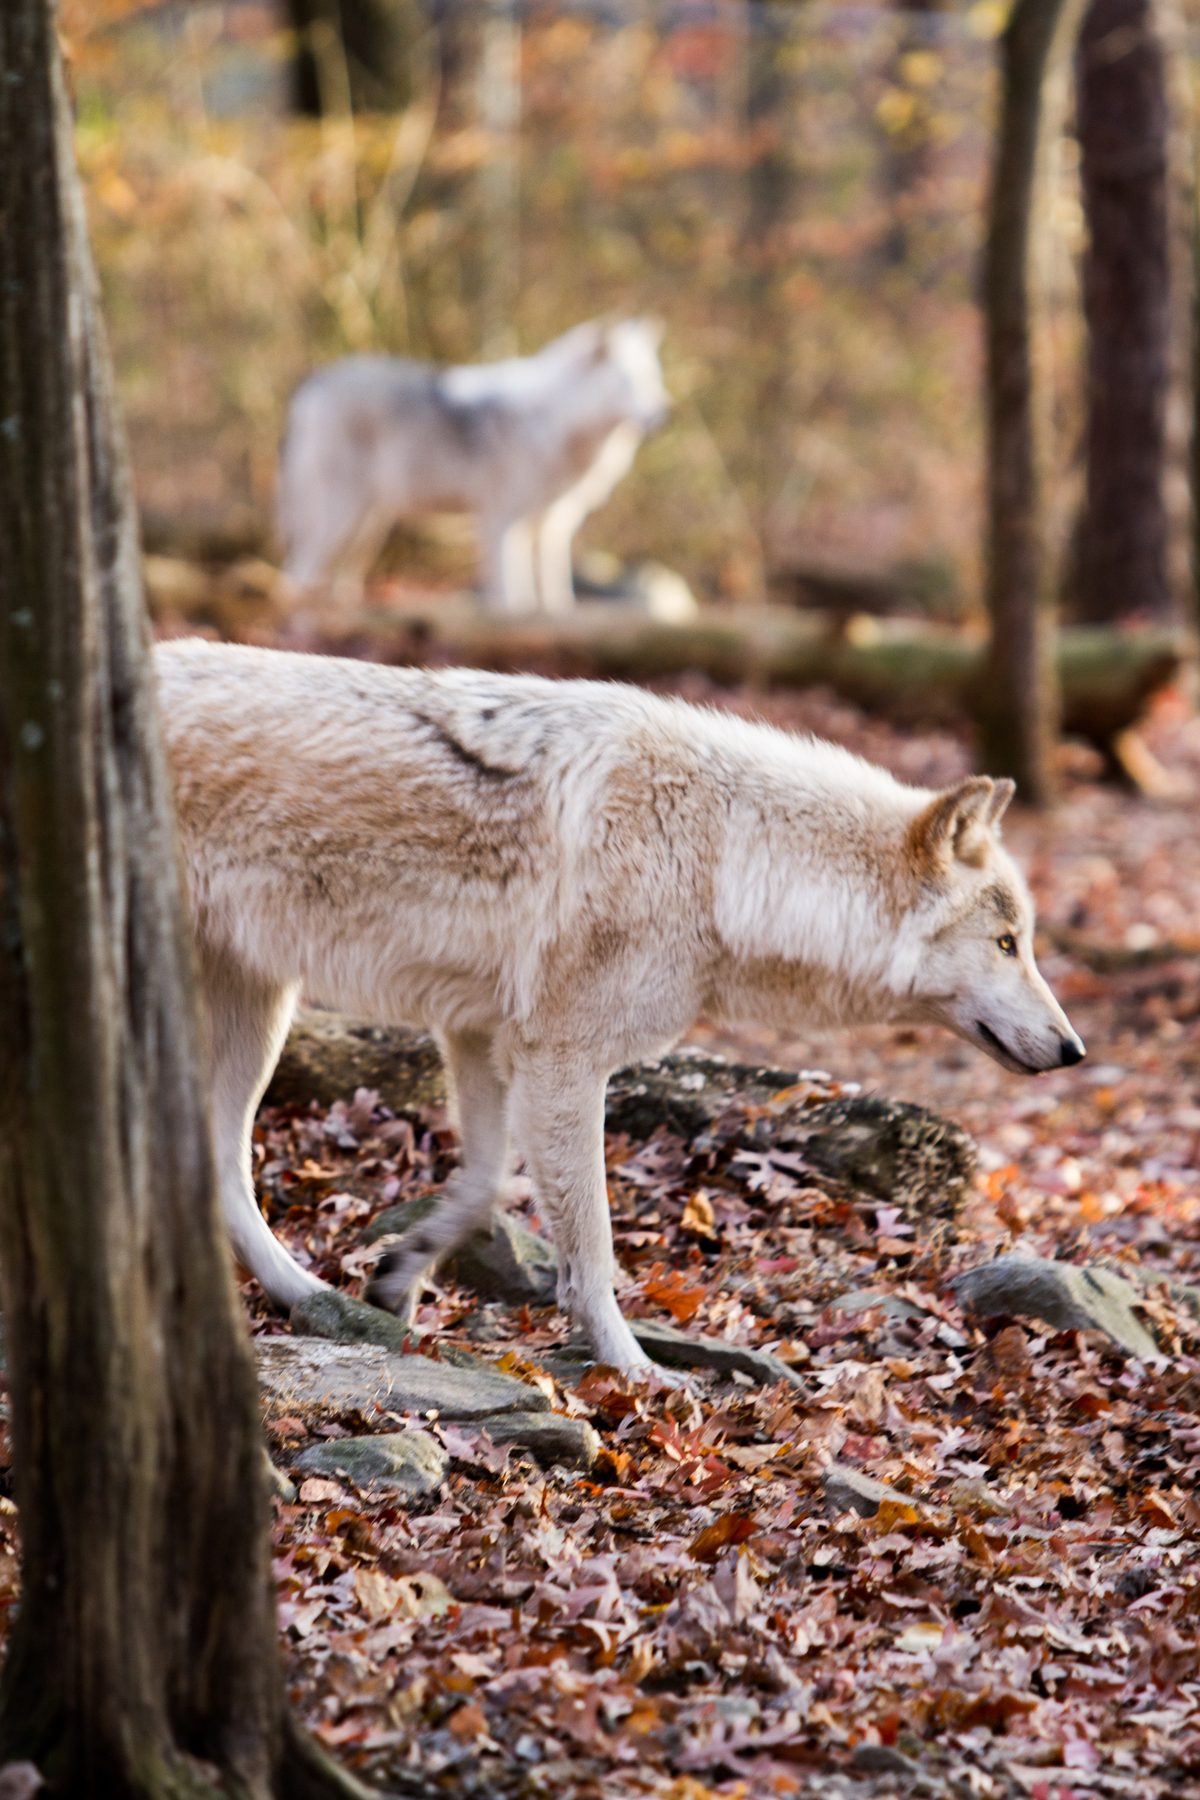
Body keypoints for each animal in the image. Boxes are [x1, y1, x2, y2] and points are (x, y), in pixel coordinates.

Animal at [156, 640, 1085, 1375]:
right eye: (1008, 943)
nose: (1074, 1049)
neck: (723, 857)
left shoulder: (483, 1037)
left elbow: (484, 1183)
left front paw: (403, 1272)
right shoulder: (562, 1059)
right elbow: (594, 1246)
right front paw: (633, 1369)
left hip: (261, 1007)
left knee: (222, 1170)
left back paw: (308, 1297)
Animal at [277, 318, 669, 613]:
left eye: (653, 377)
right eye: (627, 381)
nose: (665, 412)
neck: (555, 422)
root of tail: (311, 385)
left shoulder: (552, 525)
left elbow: (555, 596)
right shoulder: (502, 520)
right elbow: (513, 598)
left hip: (368, 526)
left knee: (335, 580)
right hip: (341, 516)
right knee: (297, 575)